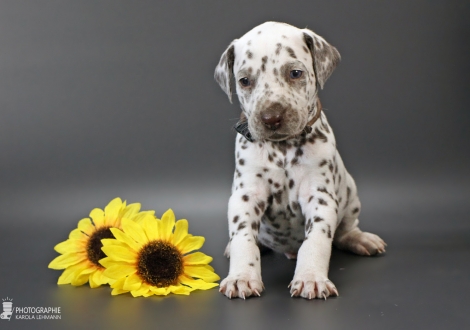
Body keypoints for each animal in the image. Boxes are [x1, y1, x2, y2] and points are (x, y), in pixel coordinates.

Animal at [213, 20, 386, 300]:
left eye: (295, 73)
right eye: (244, 80)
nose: (271, 118)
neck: (282, 149)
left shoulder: (319, 196)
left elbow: (316, 240)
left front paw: (311, 278)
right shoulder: (245, 196)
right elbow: (243, 239)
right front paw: (241, 277)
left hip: (351, 194)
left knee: (345, 230)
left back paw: (361, 239)